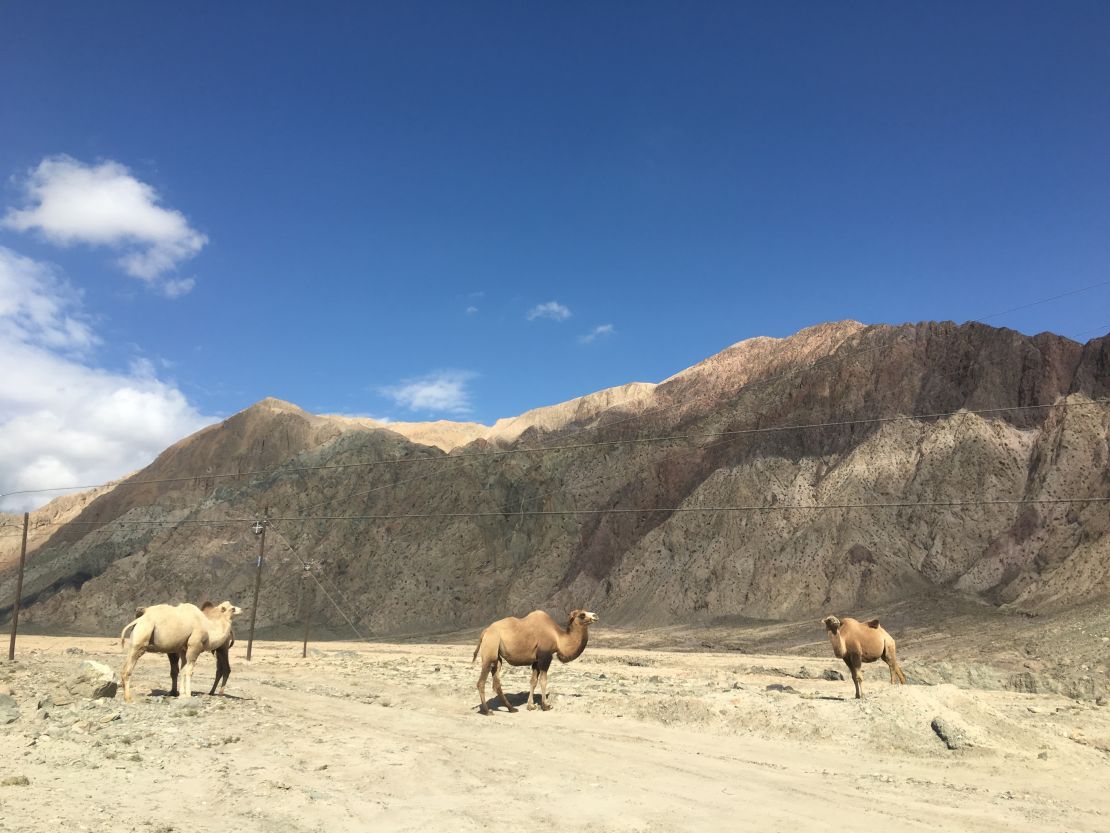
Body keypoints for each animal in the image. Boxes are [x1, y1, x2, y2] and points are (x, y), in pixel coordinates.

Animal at [475, 608, 603, 719]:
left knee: (496, 682)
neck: (558, 638)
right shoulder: (545, 657)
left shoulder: (536, 660)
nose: (596, 616)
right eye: (582, 615)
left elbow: (533, 681)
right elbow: (543, 681)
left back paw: (511, 708)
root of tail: (484, 632)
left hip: (497, 658)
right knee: (481, 682)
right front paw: (546, 706)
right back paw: (487, 711)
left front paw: (530, 706)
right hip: (490, 651)